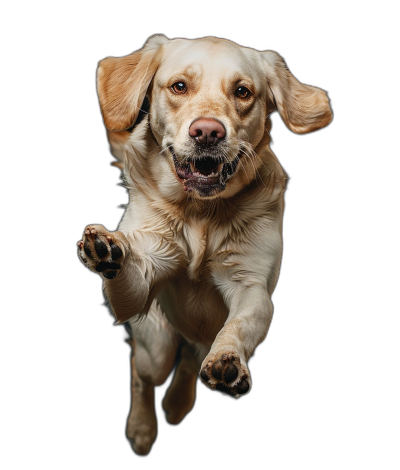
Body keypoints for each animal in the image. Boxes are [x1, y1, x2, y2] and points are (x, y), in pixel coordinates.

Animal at [77, 35, 332, 456]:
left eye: (242, 92)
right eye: (179, 86)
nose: (208, 132)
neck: (200, 212)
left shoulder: (252, 290)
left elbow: (237, 326)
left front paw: (227, 360)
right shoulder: (143, 281)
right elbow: (130, 265)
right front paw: (110, 250)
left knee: (188, 358)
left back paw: (179, 401)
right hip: (156, 346)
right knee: (143, 370)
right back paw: (142, 425)